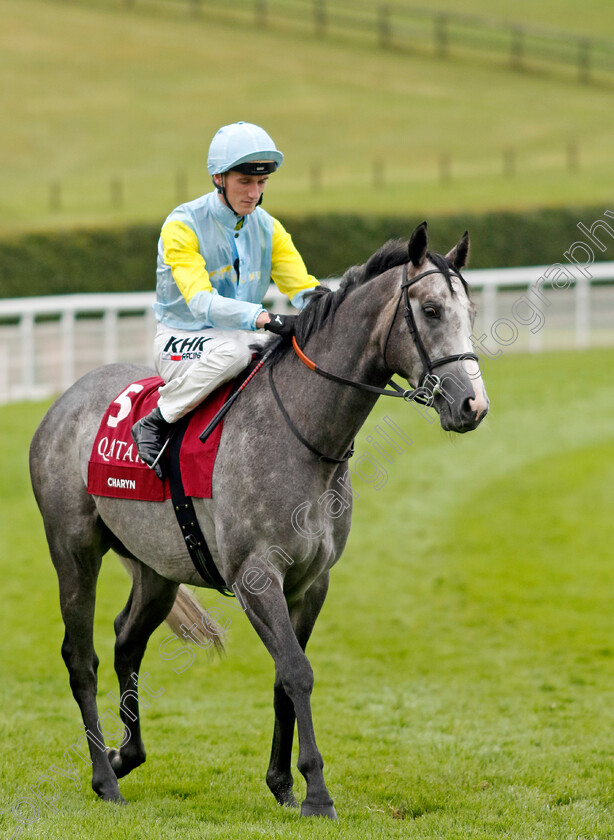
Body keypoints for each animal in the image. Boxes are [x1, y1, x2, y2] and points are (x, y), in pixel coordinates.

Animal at [30, 223, 490, 820]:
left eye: (470, 311)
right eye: (432, 310)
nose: (473, 405)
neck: (303, 435)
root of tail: (63, 402)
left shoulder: (310, 583)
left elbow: (284, 676)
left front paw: (282, 783)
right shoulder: (256, 576)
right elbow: (296, 671)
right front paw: (316, 791)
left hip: (157, 569)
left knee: (126, 642)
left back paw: (124, 755)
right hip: (73, 551)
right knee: (79, 657)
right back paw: (105, 778)